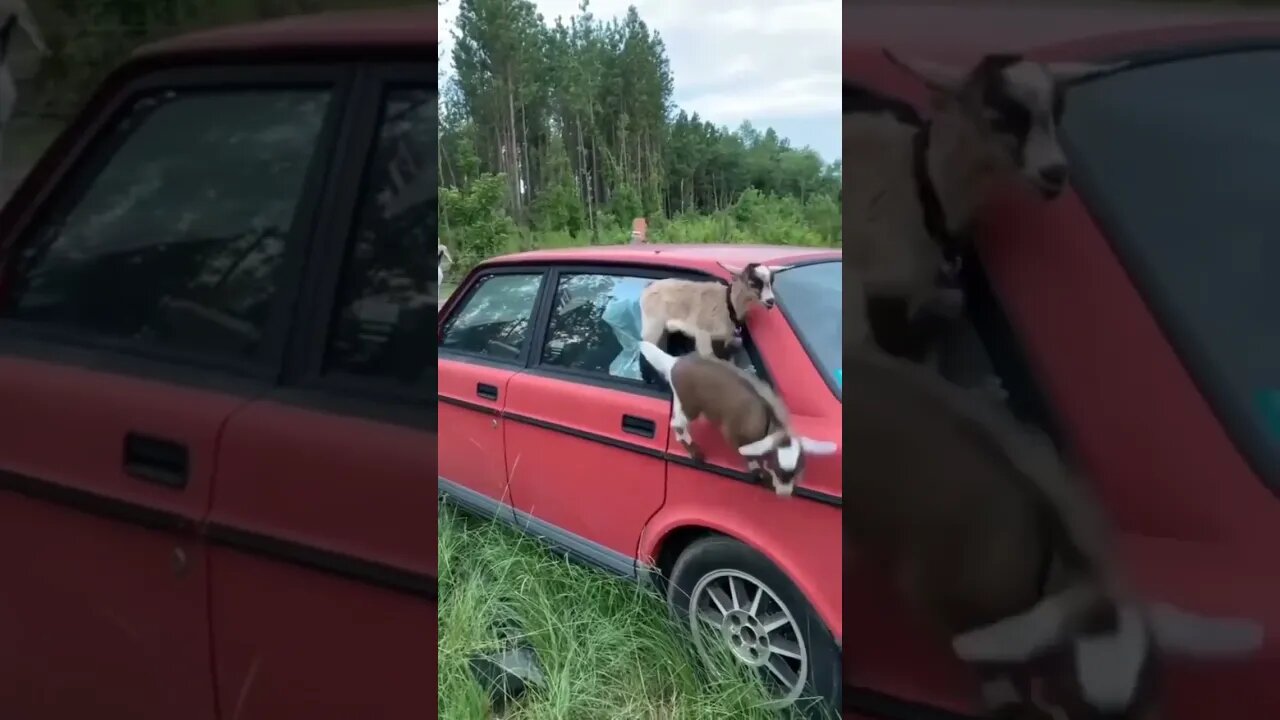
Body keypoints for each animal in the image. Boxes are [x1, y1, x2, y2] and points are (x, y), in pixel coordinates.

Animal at [637, 338, 834, 491]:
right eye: (777, 469)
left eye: (799, 471)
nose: (784, 494)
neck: (769, 421)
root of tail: (674, 362)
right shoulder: (733, 434)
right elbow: (747, 453)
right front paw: (758, 471)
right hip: (689, 403)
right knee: (677, 423)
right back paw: (695, 452)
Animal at [640, 260, 778, 358]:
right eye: (753, 283)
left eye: (771, 282)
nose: (771, 301)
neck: (728, 304)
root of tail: (648, 288)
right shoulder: (703, 333)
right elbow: (708, 357)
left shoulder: (722, 340)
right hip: (653, 323)